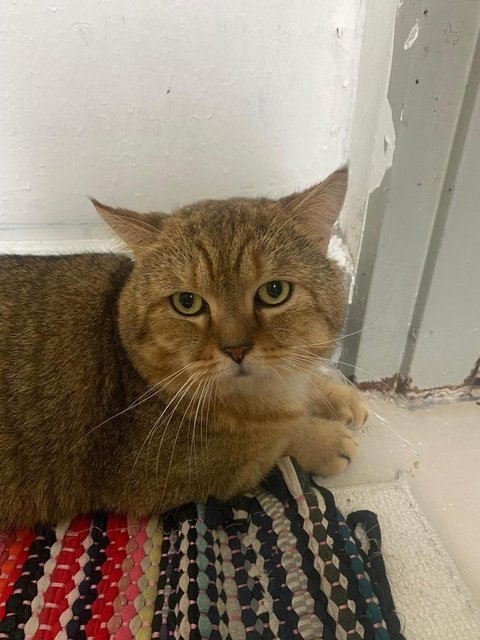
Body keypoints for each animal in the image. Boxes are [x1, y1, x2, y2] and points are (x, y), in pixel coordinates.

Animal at [0, 168, 368, 528]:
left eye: (274, 291)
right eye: (187, 302)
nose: (236, 349)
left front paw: (338, 395)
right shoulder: (198, 475)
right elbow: (278, 437)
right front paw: (323, 438)